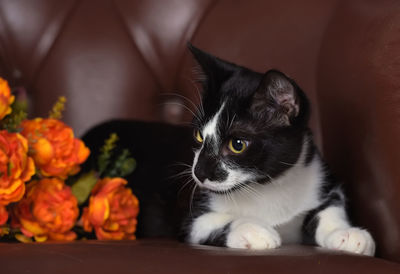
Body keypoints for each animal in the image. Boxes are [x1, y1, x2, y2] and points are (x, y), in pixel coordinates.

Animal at [183, 44, 376, 256]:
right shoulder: (193, 222)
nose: (199, 172)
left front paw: (345, 233)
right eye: (198, 135)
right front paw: (253, 230)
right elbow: (207, 221)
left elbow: (331, 206)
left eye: (237, 144)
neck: (267, 187)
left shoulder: (322, 178)